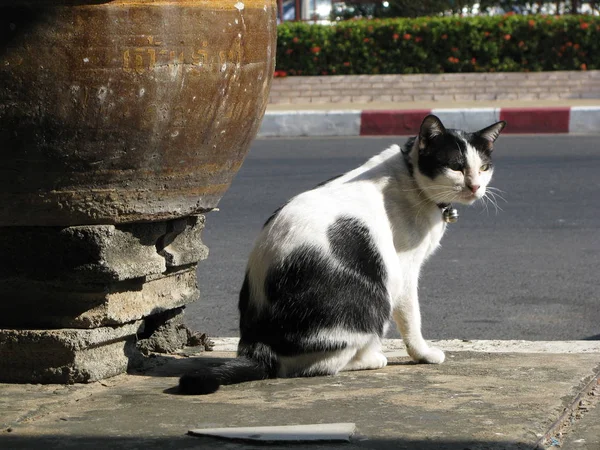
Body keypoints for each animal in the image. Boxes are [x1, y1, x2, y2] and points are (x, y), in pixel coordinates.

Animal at [179, 115, 506, 394]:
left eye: (484, 167)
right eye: (456, 166)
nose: (475, 186)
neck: (410, 177)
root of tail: (259, 346)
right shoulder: (405, 270)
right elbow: (413, 318)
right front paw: (423, 354)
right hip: (377, 295)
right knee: (318, 365)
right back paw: (371, 358)